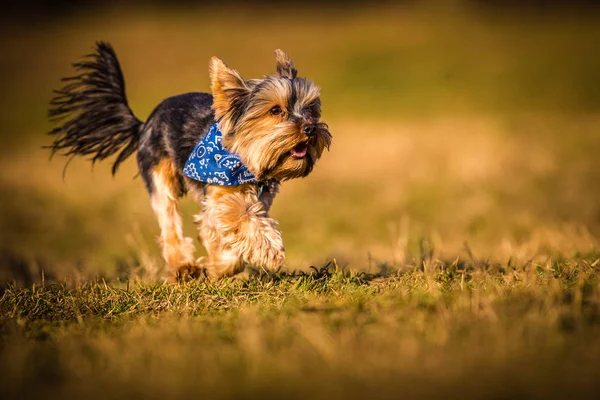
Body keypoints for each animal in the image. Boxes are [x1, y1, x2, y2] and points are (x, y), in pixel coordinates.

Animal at [49, 42, 332, 280]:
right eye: (275, 110)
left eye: (310, 110)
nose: (310, 128)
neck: (244, 161)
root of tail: (143, 124)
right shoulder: (218, 199)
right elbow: (236, 224)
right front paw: (266, 252)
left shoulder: (254, 201)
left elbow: (229, 235)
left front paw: (220, 265)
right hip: (159, 174)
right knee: (169, 224)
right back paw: (184, 267)